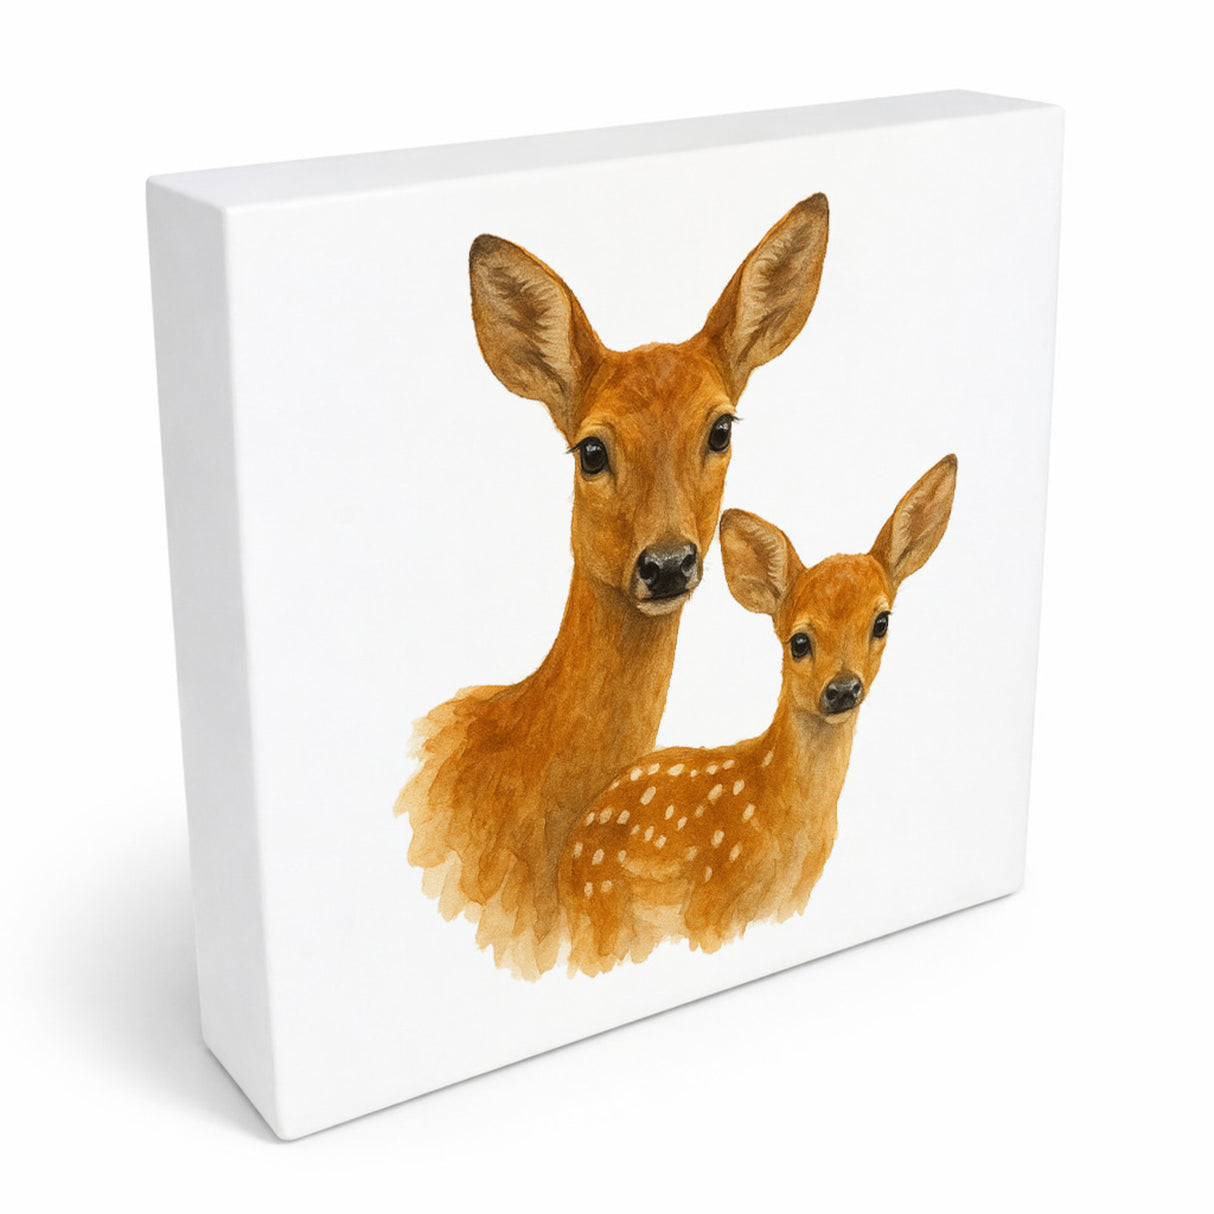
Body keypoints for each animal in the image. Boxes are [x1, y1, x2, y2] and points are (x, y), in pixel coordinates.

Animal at [559, 454, 957, 977]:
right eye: (799, 640)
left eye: (881, 621)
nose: (842, 689)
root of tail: (565, 858)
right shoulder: (710, 907)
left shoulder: (793, 902)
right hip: (601, 916)